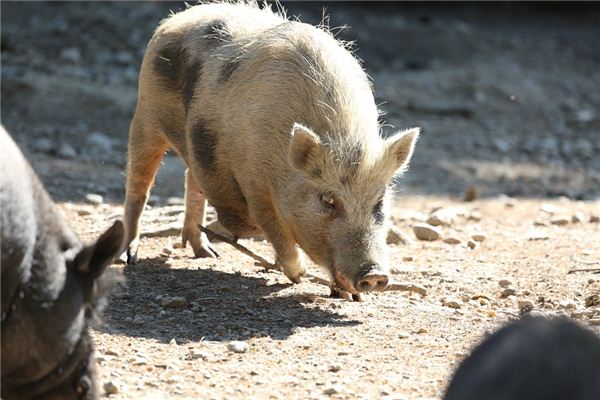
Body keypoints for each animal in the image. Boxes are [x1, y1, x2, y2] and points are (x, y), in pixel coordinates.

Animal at [124, 1, 420, 298]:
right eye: (328, 200)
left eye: (379, 202)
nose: (374, 275)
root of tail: (177, 18)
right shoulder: (254, 183)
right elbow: (276, 231)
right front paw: (298, 275)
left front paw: (346, 295)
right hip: (145, 113)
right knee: (139, 185)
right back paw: (130, 257)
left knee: (192, 178)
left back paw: (207, 254)